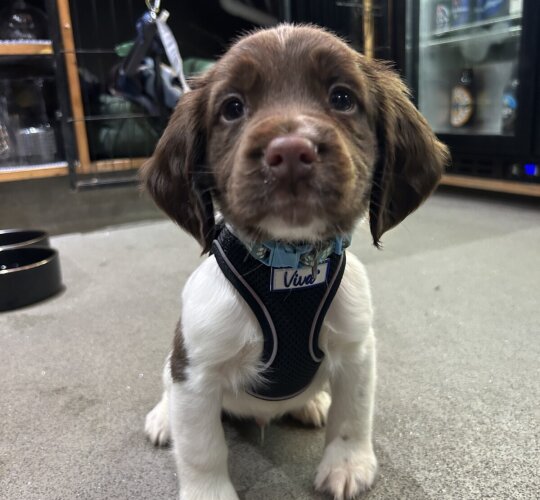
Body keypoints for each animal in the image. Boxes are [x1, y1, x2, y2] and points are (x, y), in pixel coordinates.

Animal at [140, 23, 448, 500]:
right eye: (232, 107)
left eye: (342, 98)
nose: (289, 152)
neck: (289, 264)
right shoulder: (195, 370)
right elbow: (202, 448)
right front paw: (208, 490)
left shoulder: (357, 349)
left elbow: (352, 416)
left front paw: (347, 464)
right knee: (165, 388)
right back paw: (161, 418)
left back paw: (313, 402)